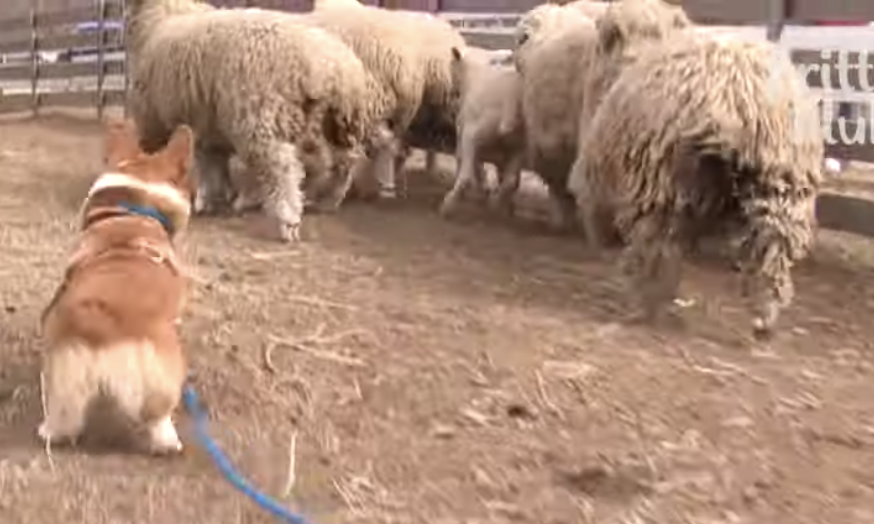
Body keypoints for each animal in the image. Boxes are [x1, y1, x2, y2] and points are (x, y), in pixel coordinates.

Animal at [125, 0, 388, 242]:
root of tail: (329, 68)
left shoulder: (154, 119)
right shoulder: (207, 123)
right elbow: (213, 162)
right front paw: (217, 197)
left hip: (261, 118)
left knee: (284, 169)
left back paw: (288, 220)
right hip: (336, 123)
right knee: (340, 161)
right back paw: (326, 201)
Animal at [440, 45, 520, 217]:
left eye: (452, 66)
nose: (451, 94)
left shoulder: (466, 136)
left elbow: (465, 161)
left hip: (473, 135)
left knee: (466, 176)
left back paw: (448, 204)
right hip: (520, 147)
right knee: (510, 180)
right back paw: (496, 204)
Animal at [564, 0, 820, 336]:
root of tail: (735, 99)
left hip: (660, 182)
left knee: (657, 247)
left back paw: (645, 305)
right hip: (781, 184)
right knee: (772, 250)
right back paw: (764, 316)